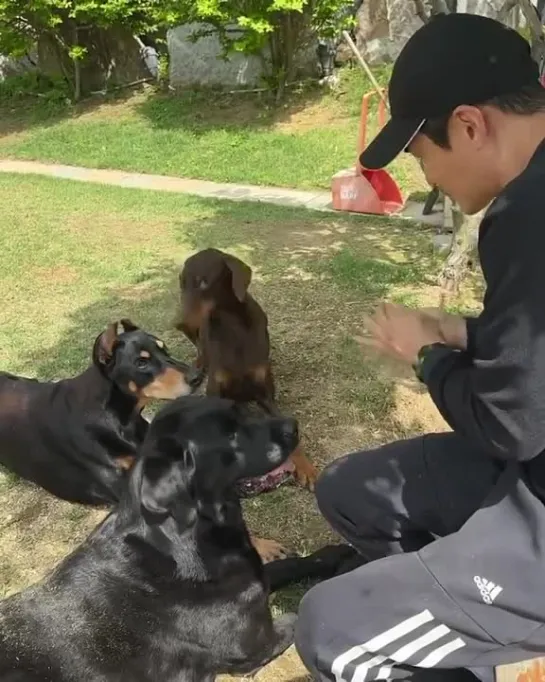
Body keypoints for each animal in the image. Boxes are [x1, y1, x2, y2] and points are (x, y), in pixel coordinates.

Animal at [0, 394, 352, 680]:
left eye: (241, 414)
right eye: (230, 435)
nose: (293, 426)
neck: (187, 542)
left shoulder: (251, 577)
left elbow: (289, 565)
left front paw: (336, 555)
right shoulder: (256, 644)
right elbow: (299, 612)